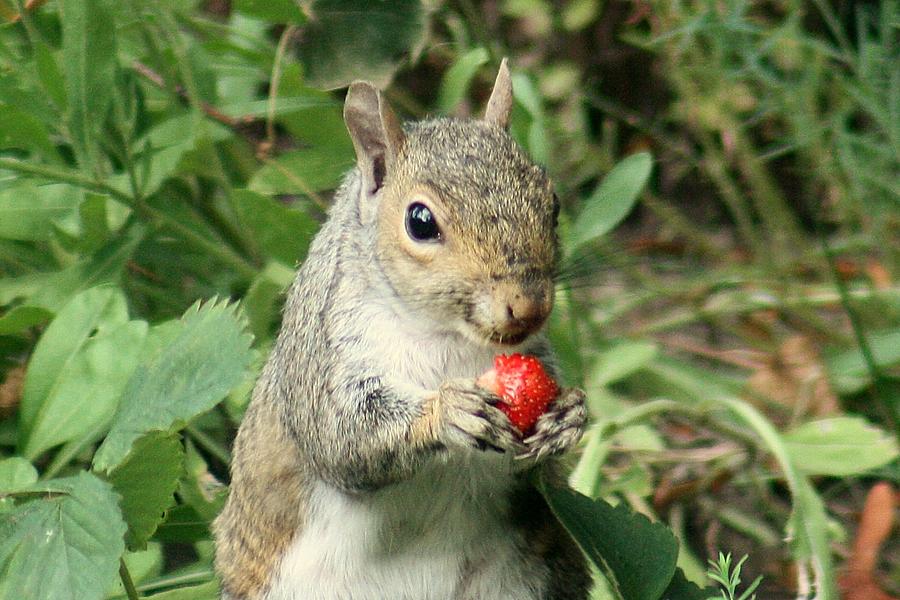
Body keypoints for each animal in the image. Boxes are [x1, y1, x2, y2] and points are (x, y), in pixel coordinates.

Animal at [213, 60, 590, 600]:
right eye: (420, 221)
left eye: (553, 202)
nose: (529, 305)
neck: (444, 337)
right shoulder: (322, 356)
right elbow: (340, 435)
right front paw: (446, 411)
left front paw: (568, 416)